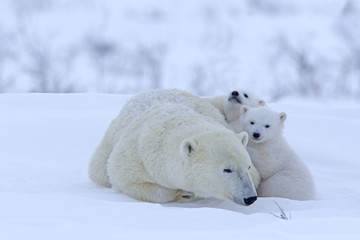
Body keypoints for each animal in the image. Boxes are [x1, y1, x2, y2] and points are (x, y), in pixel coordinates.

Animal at [88, 89, 260, 205]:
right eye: (227, 169)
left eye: (248, 166)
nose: (250, 198)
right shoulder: (134, 157)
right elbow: (128, 181)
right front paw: (183, 193)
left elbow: (256, 177)